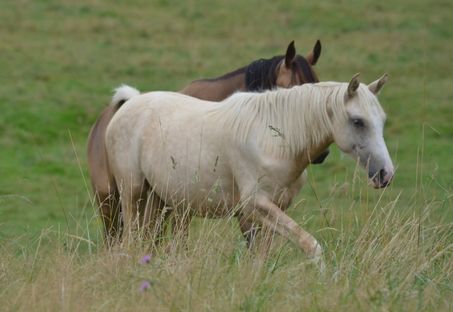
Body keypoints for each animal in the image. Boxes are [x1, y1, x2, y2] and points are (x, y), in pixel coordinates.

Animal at [105, 73, 392, 264]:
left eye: (382, 120)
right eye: (358, 121)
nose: (385, 174)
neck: (275, 138)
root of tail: (131, 103)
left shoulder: (274, 208)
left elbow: (261, 257)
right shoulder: (256, 204)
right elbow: (310, 245)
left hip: (157, 199)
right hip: (132, 194)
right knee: (130, 240)